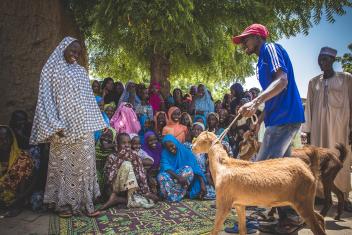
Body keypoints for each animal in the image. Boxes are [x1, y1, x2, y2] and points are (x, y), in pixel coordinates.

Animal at [191, 132, 326, 235]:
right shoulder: (239, 204)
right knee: (320, 218)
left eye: (201, 140)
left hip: (303, 201)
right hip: (305, 201)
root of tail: (308, 169)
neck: (222, 166)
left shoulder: (224, 204)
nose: (192, 147)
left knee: (317, 227)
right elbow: (242, 230)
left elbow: (215, 229)